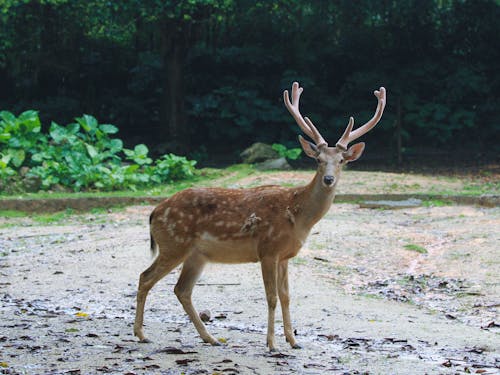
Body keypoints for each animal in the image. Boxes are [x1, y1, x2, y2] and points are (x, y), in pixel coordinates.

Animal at [133, 82, 386, 352]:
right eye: (318, 160)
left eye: (341, 161)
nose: (328, 179)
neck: (298, 216)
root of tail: (154, 213)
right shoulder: (267, 249)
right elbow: (271, 297)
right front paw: (272, 344)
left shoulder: (285, 256)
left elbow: (286, 296)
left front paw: (293, 341)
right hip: (174, 243)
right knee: (145, 277)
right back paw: (141, 334)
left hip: (196, 254)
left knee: (181, 289)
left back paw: (210, 338)